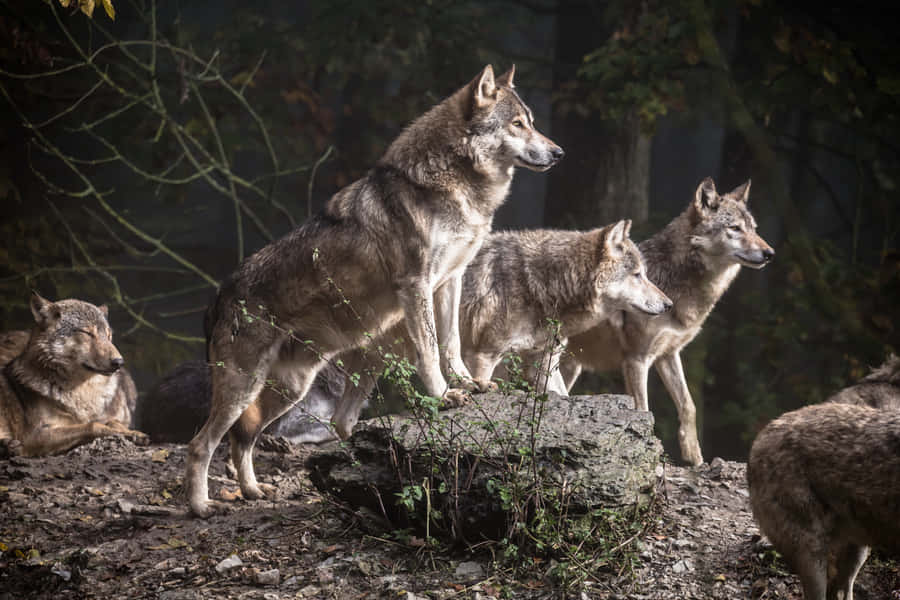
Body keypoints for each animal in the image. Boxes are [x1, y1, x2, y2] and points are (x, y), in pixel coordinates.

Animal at [0, 293, 145, 457]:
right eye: (88, 333)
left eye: (108, 336)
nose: (119, 362)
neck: (80, 391)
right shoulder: (35, 435)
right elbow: (93, 426)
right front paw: (121, 434)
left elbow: (112, 421)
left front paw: (134, 433)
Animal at [187, 65, 563, 517]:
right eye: (518, 124)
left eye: (533, 122)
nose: (559, 153)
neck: (456, 187)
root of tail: (217, 296)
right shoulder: (416, 285)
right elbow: (429, 350)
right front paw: (443, 395)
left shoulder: (451, 279)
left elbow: (451, 342)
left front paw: (468, 382)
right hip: (243, 387)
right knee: (201, 444)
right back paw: (200, 506)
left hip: (288, 389)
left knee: (244, 438)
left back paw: (254, 492)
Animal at [557, 178, 774, 465]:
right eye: (735, 228)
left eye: (754, 229)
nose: (770, 253)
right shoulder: (636, 359)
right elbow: (643, 410)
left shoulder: (668, 354)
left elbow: (688, 405)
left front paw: (694, 456)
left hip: (570, 367)